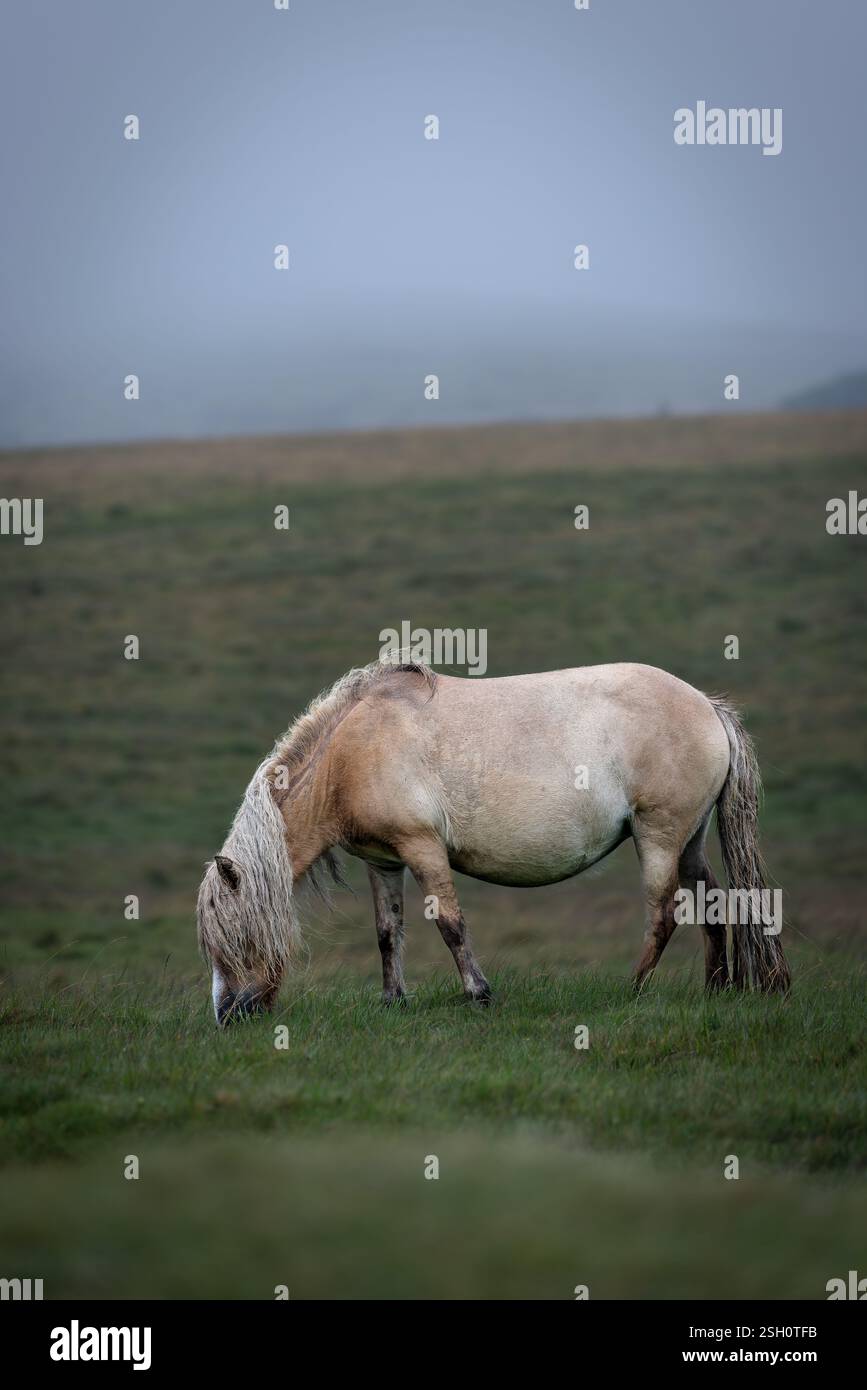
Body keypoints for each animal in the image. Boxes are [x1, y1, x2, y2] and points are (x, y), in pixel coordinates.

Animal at [196, 659, 789, 1025]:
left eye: (237, 935)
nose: (228, 1016)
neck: (353, 749)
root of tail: (708, 706)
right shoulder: (383, 863)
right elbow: (388, 932)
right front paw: (393, 1001)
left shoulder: (423, 849)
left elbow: (451, 925)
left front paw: (478, 994)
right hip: (688, 842)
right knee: (712, 901)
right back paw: (717, 988)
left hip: (659, 837)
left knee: (664, 915)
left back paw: (633, 989)